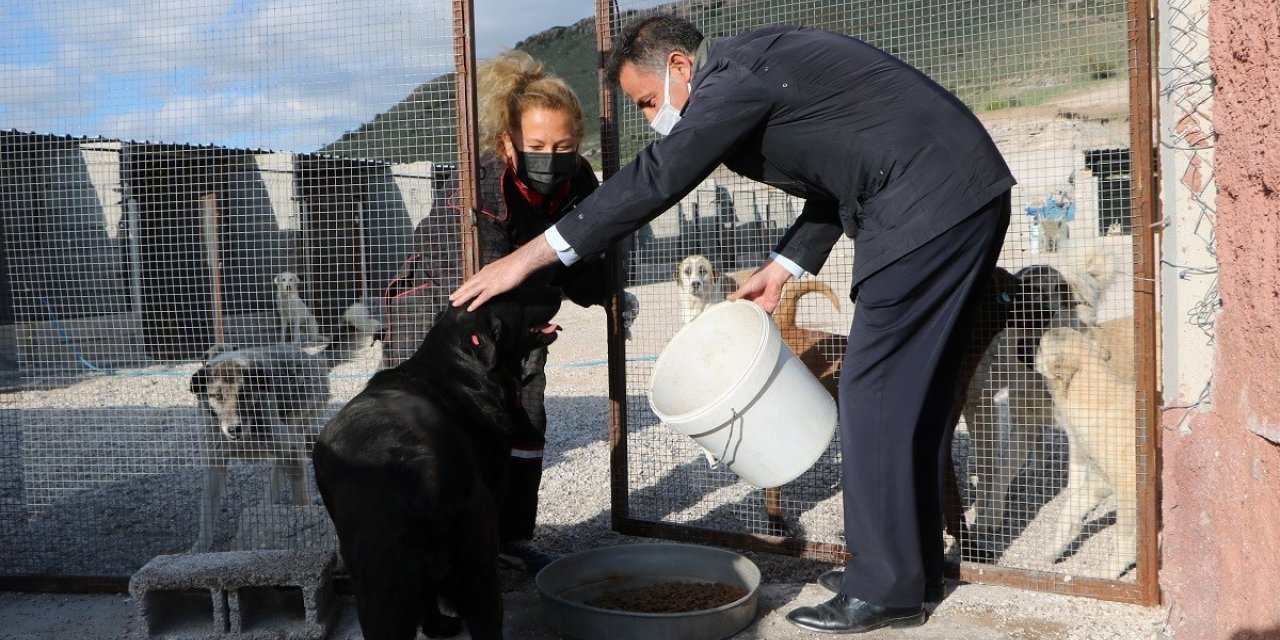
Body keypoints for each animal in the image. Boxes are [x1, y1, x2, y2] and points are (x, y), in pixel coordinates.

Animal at [189, 345, 332, 550]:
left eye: (245, 394)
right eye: (217, 395)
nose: (234, 428)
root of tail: (313, 358)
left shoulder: (289, 443)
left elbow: (300, 497)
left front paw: (304, 521)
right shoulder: (214, 463)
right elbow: (208, 509)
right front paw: (201, 547)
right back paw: (266, 506)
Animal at [311, 286, 560, 640]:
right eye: (517, 292)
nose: (559, 289)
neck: (458, 367)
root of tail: (416, 470)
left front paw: (436, 627)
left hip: (377, 589)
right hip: (477, 563)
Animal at [1034, 327, 1136, 578]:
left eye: (1039, 346)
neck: (1102, 403)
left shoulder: (1129, 491)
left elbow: (1124, 539)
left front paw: (1111, 571)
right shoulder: (1103, 481)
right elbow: (1068, 509)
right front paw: (1053, 550)